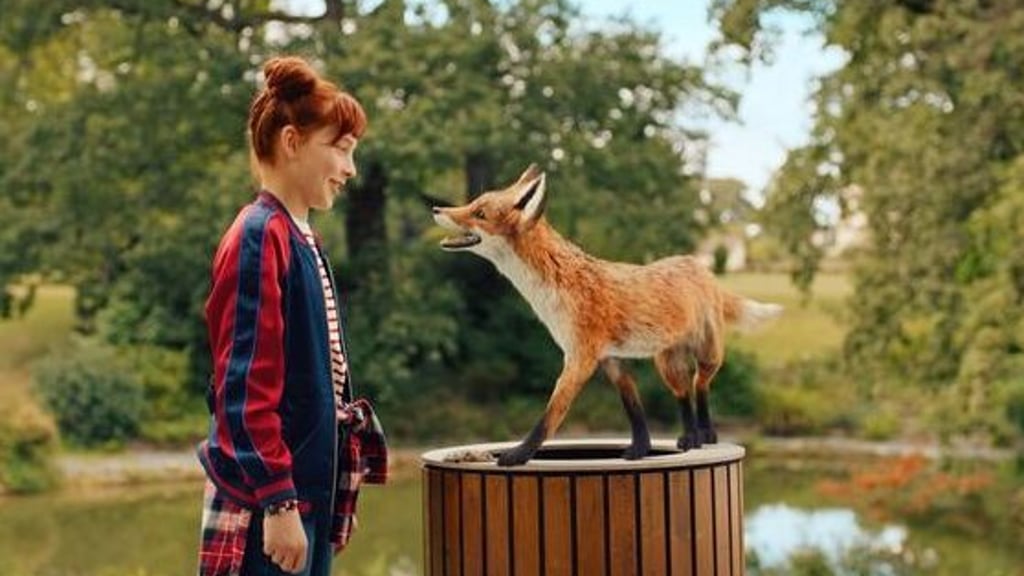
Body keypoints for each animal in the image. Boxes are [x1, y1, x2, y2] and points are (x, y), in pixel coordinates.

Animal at [432, 164, 782, 466]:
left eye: (479, 213)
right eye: (473, 203)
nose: (436, 209)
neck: (558, 287)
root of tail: (699, 265)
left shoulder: (580, 359)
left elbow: (550, 417)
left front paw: (518, 455)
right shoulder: (610, 359)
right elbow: (634, 410)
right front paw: (639, 450)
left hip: (708, 354)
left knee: (701, 385)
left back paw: (706, 434)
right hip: (667, 364)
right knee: (684, 393)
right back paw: (690, 438)